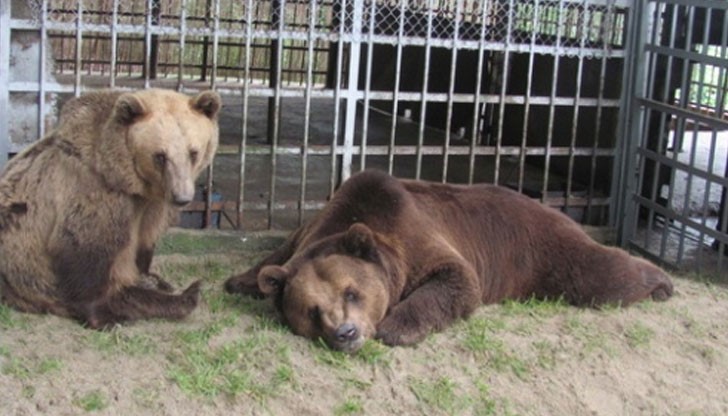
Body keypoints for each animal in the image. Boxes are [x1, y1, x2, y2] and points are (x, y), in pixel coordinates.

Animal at [0, 88, 222, 328]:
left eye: (193, 152)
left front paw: (148, 276)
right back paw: (186, 296)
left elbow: (145, 240)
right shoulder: (95, 192)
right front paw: (104, 314)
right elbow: (87, 250)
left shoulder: (152, 206)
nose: (182, 197)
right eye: (160, 156)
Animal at [225, 169, 672, 352]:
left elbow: (455, 279)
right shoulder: (309, 232)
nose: (346, 333)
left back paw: (661, 280)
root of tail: (551, 205)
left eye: (352, 292)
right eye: (312, 310)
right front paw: (241, 280)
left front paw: (396, 328)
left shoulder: (415, 238)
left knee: (599, 276)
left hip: (544, 249)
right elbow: (277, 255)